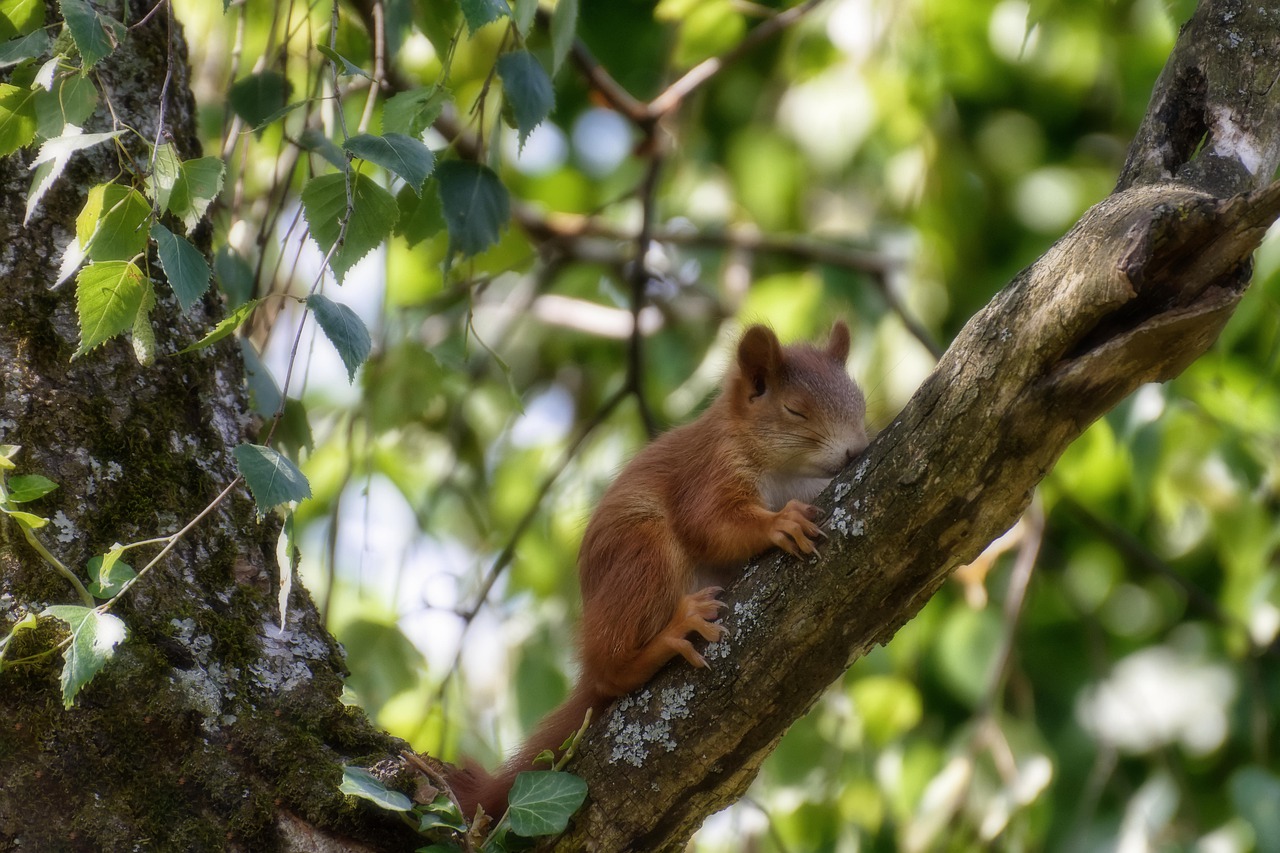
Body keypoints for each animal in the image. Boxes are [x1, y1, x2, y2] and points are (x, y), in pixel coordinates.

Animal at [448, 318, 870, 819]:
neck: (785, 470)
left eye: (861, 402)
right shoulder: (709, 471)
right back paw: (668, 636)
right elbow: (711, 524)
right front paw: (778, 523)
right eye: (795, 411)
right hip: (644, 554)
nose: (855, 451)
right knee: (610, 670)